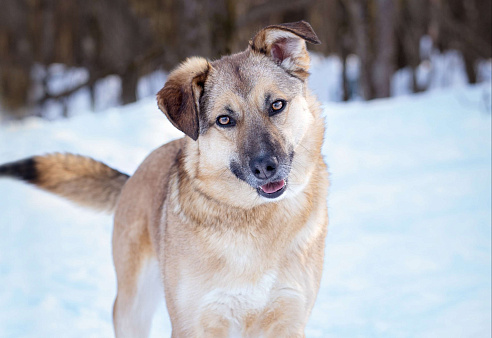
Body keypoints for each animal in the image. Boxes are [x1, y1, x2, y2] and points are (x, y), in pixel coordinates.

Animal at [0, 21, 330, 338]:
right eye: (225, 120)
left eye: (276, 105)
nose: (265, 167)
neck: (253, 215)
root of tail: (134, 175)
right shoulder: (194, 323)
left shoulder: (288, 318)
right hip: (133, 307)